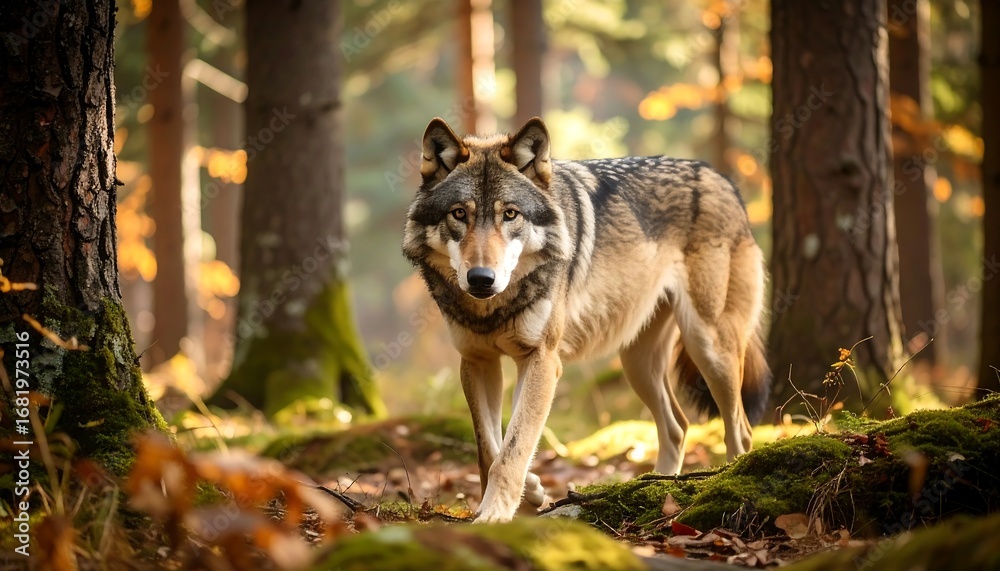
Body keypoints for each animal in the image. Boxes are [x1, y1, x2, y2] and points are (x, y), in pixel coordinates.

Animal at [402, 117, 772, 523]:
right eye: (459, 214)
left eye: (510, 214)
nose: (481, 278)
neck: (492, 309)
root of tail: (721, 178)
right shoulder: (477, 362)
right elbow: (489, 447)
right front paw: (524, 493)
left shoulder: (541, 361)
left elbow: (514, 446)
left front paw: (495, 513)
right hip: (637, 363)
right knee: (678, 426)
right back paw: (657, 488)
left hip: (709, 348)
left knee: (740, 430)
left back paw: (726, 483)